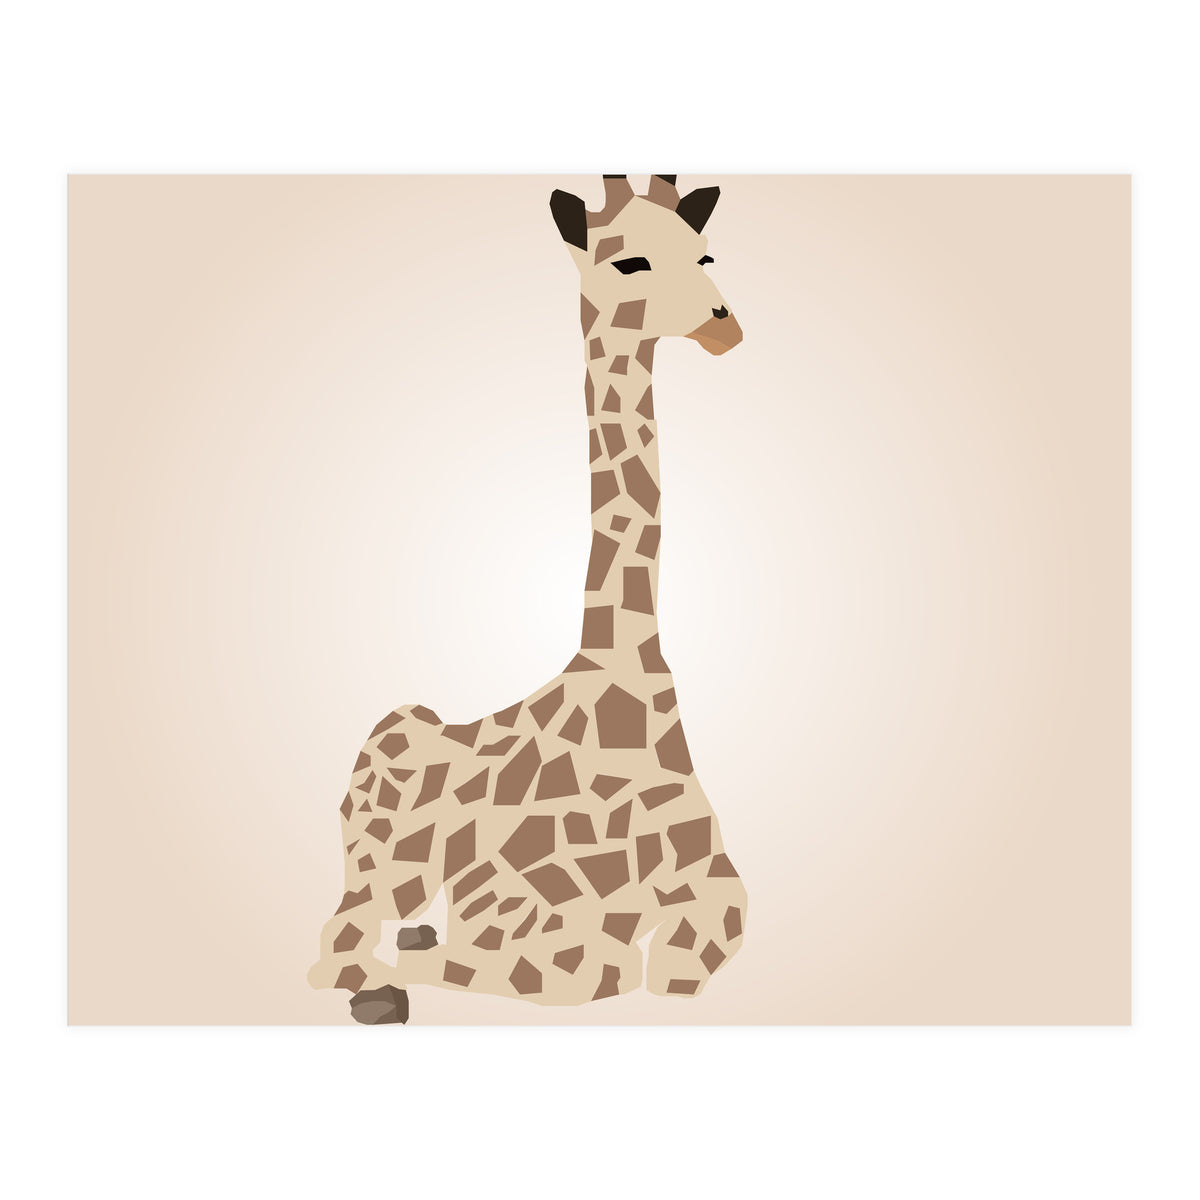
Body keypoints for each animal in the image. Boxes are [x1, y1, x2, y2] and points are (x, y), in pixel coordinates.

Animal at [308, 175, 748, 1023]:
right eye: (629, 261)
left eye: (705, 253)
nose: (725, 328)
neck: (625, 678)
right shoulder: (540, 934)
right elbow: (562, 969)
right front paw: (393, 982)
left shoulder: (717, 903)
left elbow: (686, 957)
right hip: (376, 854)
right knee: (337, 944)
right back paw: (374, 979)